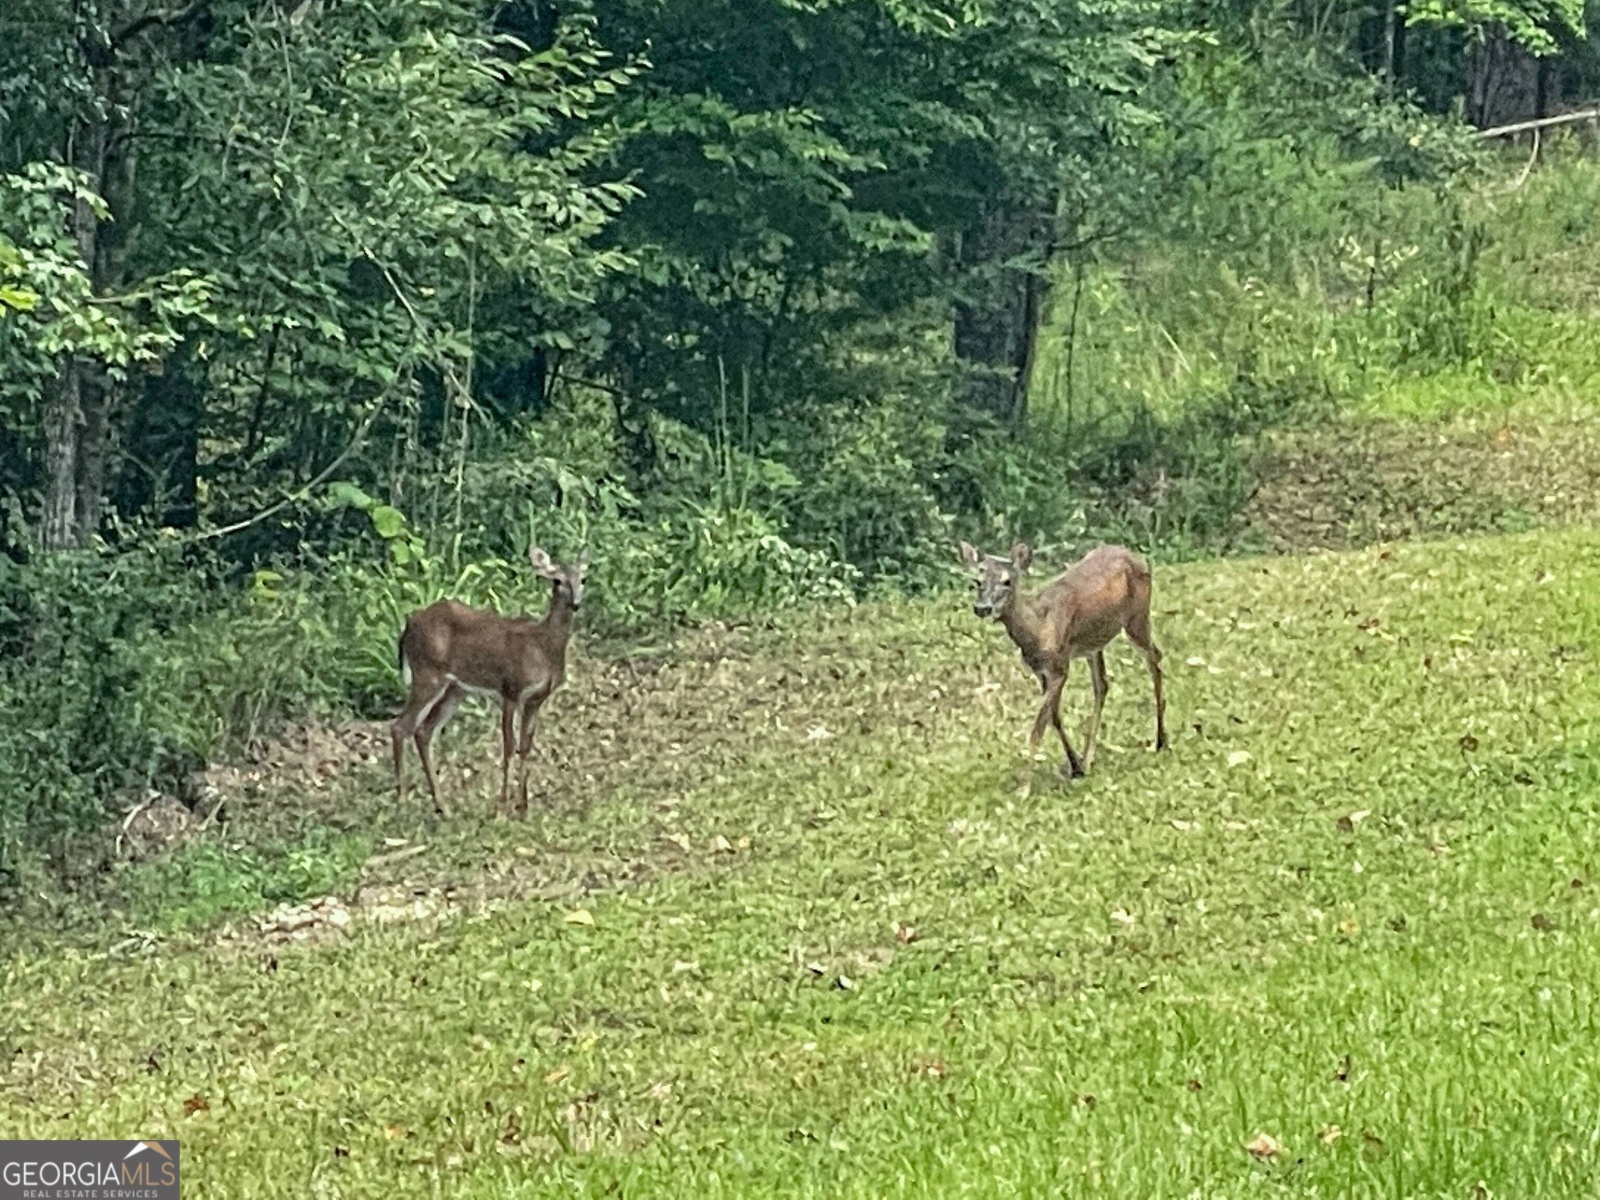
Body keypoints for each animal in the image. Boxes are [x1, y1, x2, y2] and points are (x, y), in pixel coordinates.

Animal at [390, 544, 592, 819]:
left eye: (583, 579)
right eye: (557, 580)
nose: (576, 604)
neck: (543, 647)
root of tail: (409, 624)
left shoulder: (536, 699)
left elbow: (525, 747)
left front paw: (523, 808)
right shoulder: (511, 689)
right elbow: (508, 746)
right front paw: (503, 807)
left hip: (455, 688)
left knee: (423, 731)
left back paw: (443, 806)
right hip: (427, 673)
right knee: (400, 727)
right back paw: (402, 802)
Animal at [953, 544, 1171, 780]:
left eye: (1007, 581)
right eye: (977, 581)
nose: (981, 608)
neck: (1038, 627)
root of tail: (1133, 554)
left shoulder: (1060, 666)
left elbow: (1039, 725)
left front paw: (1025, 783)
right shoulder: (1041, 671)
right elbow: (1055, 717)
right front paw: (1075, 766)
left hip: (1137, 617)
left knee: (1155, 659)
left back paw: (1160, 741)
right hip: (1094, 643)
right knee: (1102, 685)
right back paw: (1088, 758)